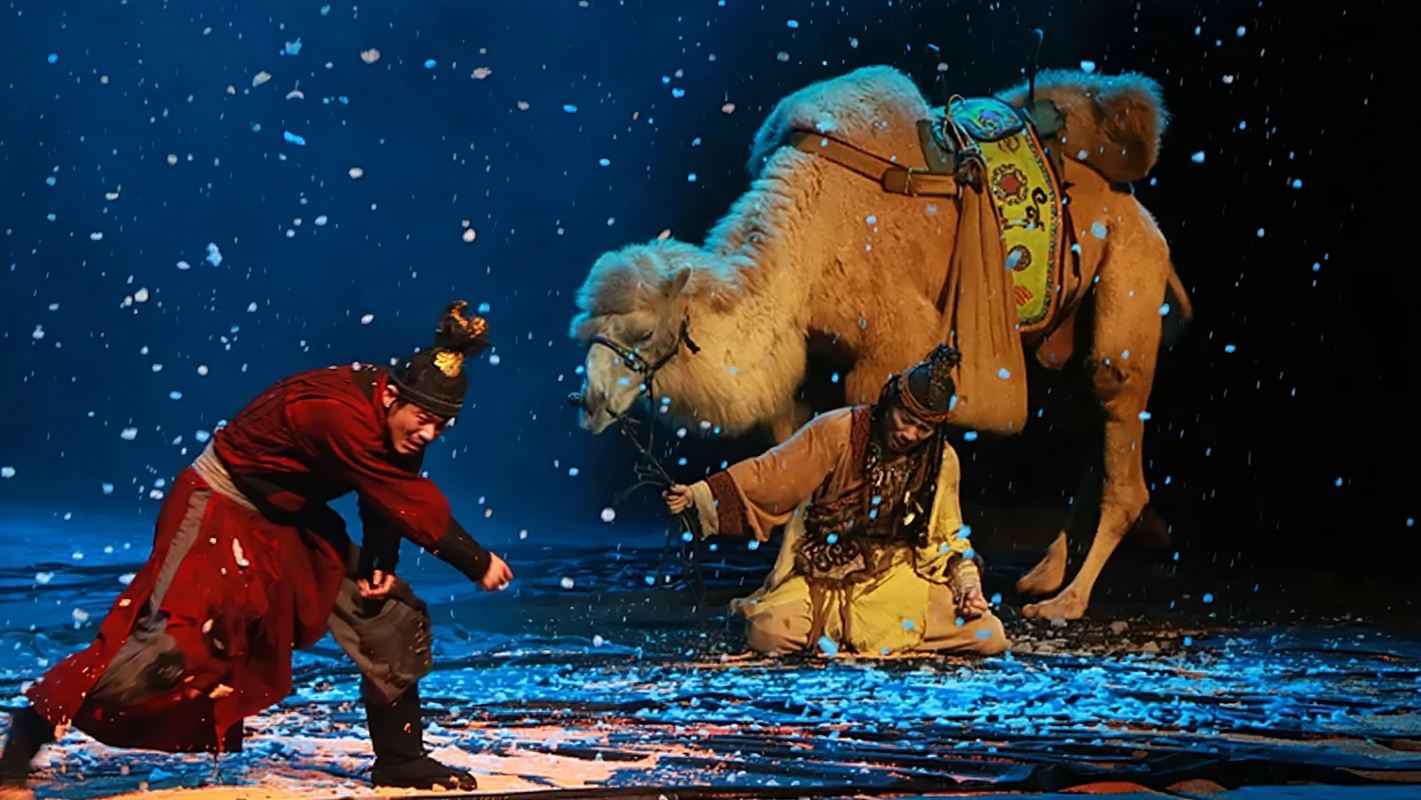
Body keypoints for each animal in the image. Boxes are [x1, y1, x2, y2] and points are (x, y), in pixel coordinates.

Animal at [568, 66, 1191, 621]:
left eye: (643, 332)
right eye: (585, 328)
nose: (590, 403)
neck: (809, 243)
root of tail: (1144, 219)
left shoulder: (884, 353)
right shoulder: (810, 367)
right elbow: (796, 476)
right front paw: (765, 590)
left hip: (1125, 304)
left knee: (1122, 461)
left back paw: (1065, 603)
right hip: (1059, 344)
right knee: (1093, 439)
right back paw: (1042, 576)